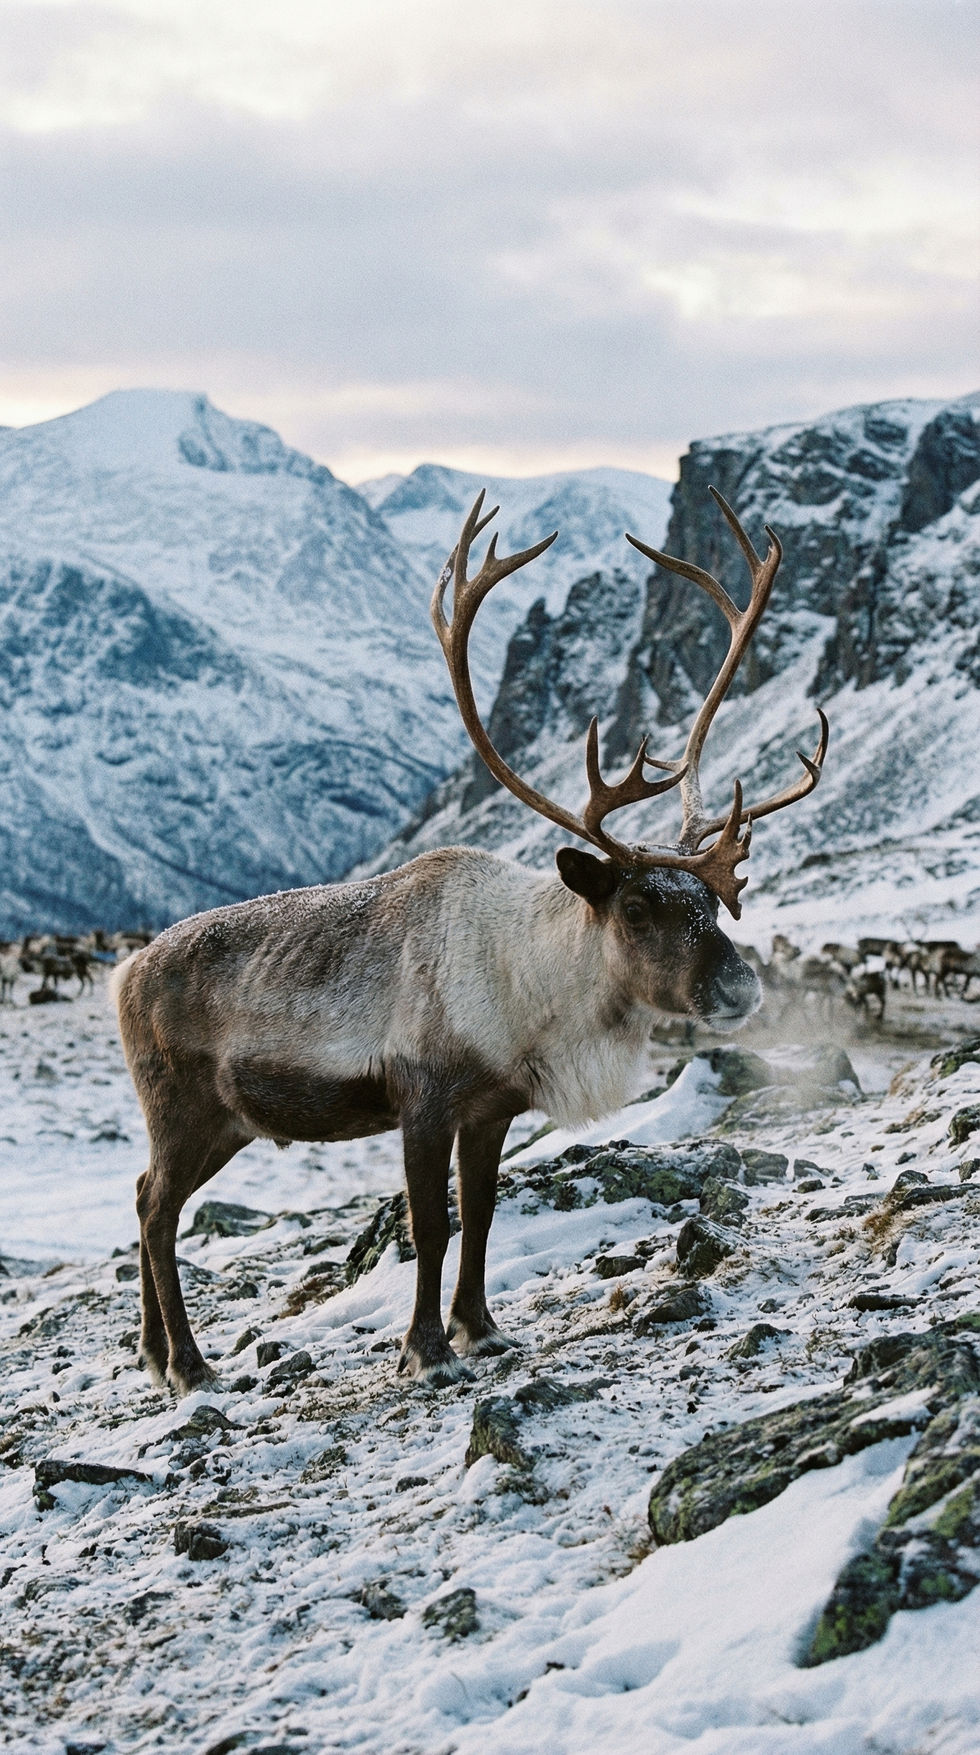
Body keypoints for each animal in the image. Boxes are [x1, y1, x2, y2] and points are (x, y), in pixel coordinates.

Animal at [113, 488, 828, 1396]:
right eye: (637, 905)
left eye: (713, 897)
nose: (740, 989)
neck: (530, 983)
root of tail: (125, 972)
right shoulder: (422, 1097)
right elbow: (431, 1223)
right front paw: (425, 1349)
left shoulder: (493, 1106)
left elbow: (482, 1215)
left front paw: (481, 1329)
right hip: (181, 1105)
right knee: (157, 1207)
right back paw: (189, 1364)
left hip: (227, 1122)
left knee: (144, 1195)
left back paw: (150, 1351)